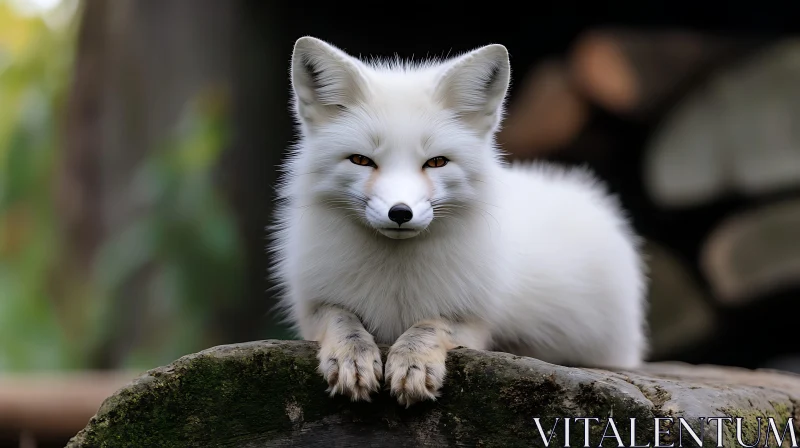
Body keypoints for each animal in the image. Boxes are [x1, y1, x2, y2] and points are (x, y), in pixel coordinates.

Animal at [272, 36, 648, 408]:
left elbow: (431, 325)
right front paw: (352, 357)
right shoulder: (312, 307)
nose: (400, 213)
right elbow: (342, 320)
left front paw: (413, 361)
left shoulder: (476, 320)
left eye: (436, 162)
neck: (396, 280)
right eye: (361, 160)